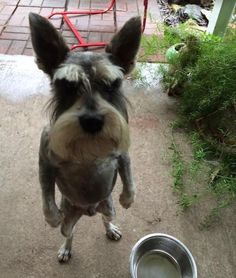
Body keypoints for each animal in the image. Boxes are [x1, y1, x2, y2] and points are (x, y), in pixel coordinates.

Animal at [28, 11, 141, 262]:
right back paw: (65, 248)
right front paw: (51, 216)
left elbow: (129, 177)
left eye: (112, 84)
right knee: (70, 233)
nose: (92, 121)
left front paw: (128, 199)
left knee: (105, 219)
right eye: (67, 86)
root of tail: (89, 210)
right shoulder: (45, 160)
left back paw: (111, 229)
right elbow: (45, 191)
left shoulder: (122, 153)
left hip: (108, 207)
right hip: (70, 219)